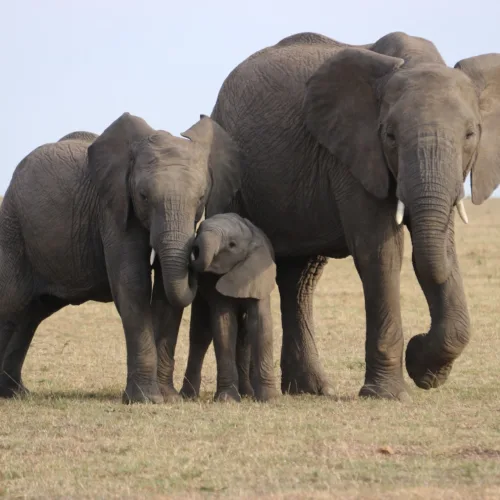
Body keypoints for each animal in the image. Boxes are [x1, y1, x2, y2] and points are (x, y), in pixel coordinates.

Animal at [0, 112, 240, 402]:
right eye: (143, 197)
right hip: (13, 228)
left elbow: (165, 292)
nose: (196, 254)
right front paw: (146, 400)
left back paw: (15, 393)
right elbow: (132, 282)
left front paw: (167, 397)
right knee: (12, 302)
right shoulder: (113, 209)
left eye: (202, 197)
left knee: (30, 314)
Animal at [180, 213, 280, 400]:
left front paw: (269, 399)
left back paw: (247, 393)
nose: (194, 249)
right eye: (199, 230)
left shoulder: (257, 275)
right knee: (200, 334)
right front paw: (227, 399)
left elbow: (260, 324)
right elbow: (224, 325)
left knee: (244, 337)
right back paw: (188, 396)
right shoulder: (212, 282)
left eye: (232, 245)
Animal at [198, 31, 500, 400]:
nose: (418, 344)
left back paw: (310, 389)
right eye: (390, 135)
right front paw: (389, 393)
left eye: (471, 134)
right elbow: (381, 253)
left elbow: (440, 250)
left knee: (300, 278)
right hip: (228, 165)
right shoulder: (352, 157)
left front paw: (425, 371)